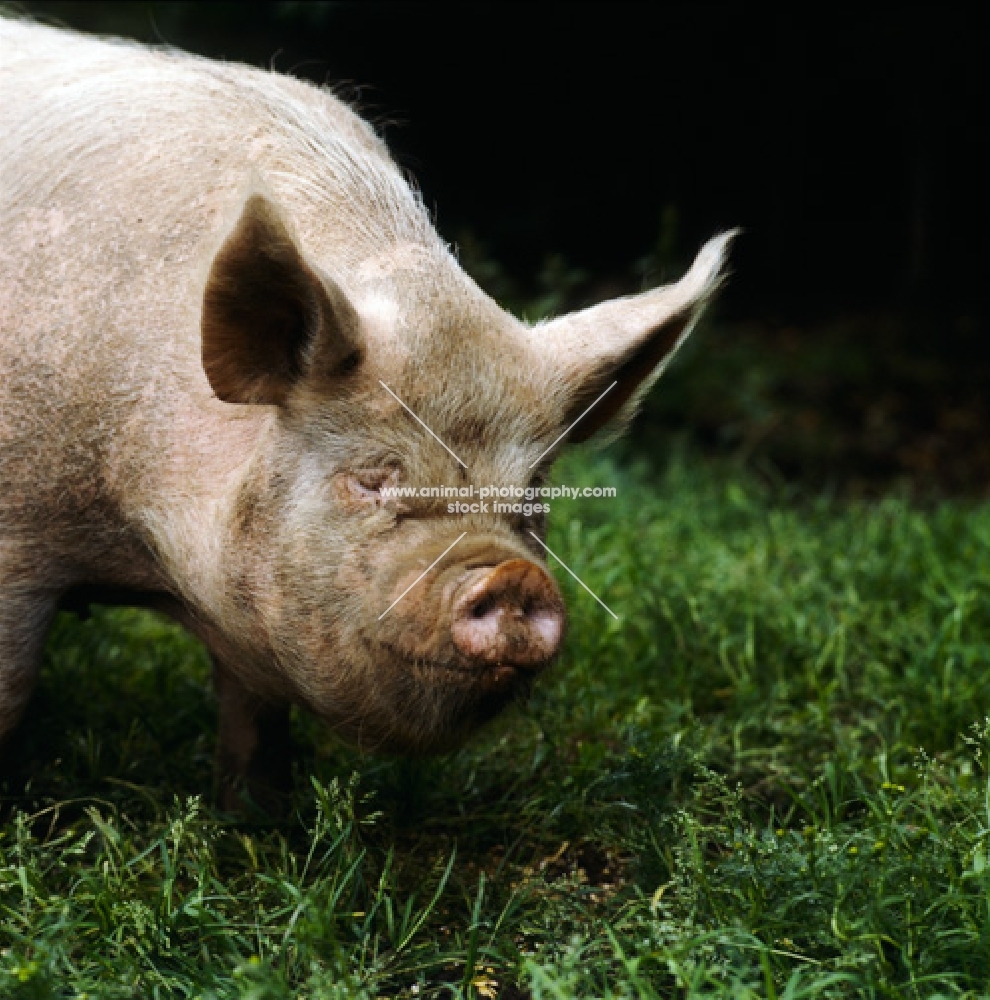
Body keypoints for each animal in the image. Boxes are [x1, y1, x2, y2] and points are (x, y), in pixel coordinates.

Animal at [0, 17, 728, 812]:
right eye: (372, 479)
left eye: (533, 495)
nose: (511, 576)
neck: (138, 556)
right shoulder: (17, 538)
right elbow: (12, 689)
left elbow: (255, 723)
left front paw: (257, 823)